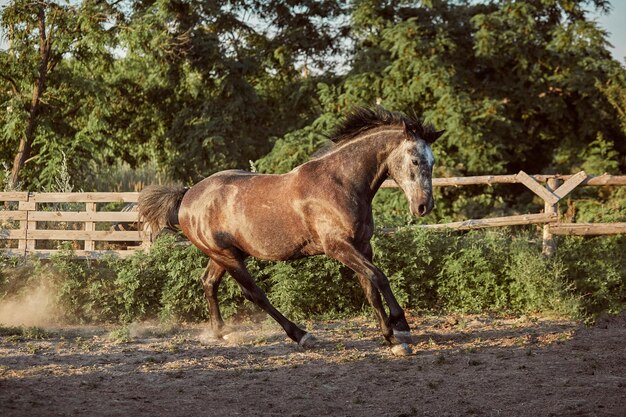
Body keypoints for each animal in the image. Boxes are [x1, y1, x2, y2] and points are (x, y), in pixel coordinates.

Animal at [138, 105, 438, 346]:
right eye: (415, 160)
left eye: (432, 162)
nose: (424, 206)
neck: (341, 183)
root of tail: (188, 194)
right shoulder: (338, 247)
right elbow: (379, 277)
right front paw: (401, 327)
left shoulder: (362, 246)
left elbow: (370, 287)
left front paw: (391, 337)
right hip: (227, 256)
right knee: (255, 294)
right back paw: (301, 335)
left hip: (226, 254)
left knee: (209, 282)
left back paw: (221, 332)